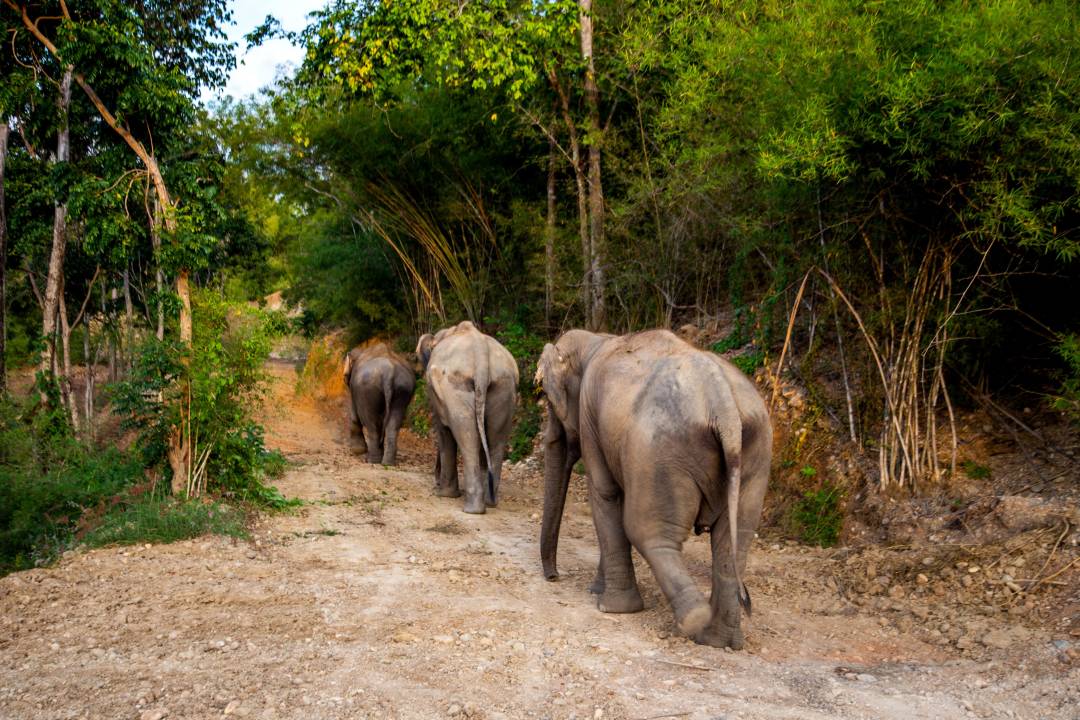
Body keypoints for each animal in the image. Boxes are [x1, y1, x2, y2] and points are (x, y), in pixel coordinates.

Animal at [416, 321, 519, 514]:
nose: (436, 480)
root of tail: (481, 353)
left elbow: (443, 431)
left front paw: (443, 493)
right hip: (504, 387)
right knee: (496, 439)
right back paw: (490, 501)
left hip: (455, 386)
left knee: (465, 435)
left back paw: (472, 509)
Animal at [535, 329, 772, 649]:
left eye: (548, 399)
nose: (554, 577)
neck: (597, 338)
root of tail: (722, 404)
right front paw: (597, 590)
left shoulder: (589, 416)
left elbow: (605, 493)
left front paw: (609, 605)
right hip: (755, 457)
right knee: (732, 542)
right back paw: (718, 639)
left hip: (659, 452)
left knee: (647, 531)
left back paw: (695, 618)